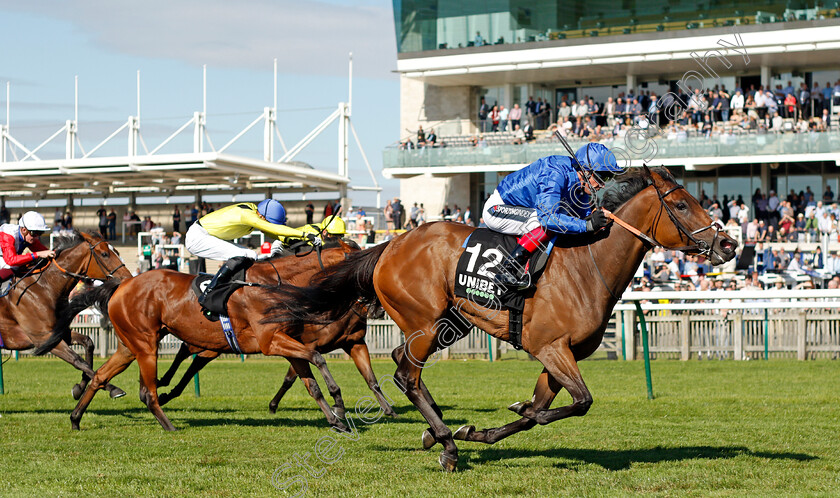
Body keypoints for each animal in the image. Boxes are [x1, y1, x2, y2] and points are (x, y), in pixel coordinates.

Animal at [4, 231, 132, 398]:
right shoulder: (43, 339)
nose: (127, 277)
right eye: (104, 254)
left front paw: (79, 388)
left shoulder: (59, 332)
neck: (43, 288)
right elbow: (77, 360)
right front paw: (112, 388)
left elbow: (88, 343)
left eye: (116, 251)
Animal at [57, 242, 386, 432]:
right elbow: (318, 359)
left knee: (101, 376)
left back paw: (75, 419)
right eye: (363, 263)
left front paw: (335, 420)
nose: (378, 300)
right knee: (148, 392)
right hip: (146, 344)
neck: (278, 283)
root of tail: (122, 285)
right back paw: (169, 424)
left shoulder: (288, 343)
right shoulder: (272, 342)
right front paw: (339, 404)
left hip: (129, 345)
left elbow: (311, 384)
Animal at [268, 166, 736, 470]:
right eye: (681, 204)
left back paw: (438, 432)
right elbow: (575, 403)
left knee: (404, 364)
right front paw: (493, 422)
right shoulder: (551, 348)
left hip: (446, 323)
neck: (588, 264)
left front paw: (479, 431)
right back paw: (446, 444)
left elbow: (540, 409)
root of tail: (388, 245)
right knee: (406, 375)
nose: (730, 245)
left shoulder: (558, 355)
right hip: (425, 321)